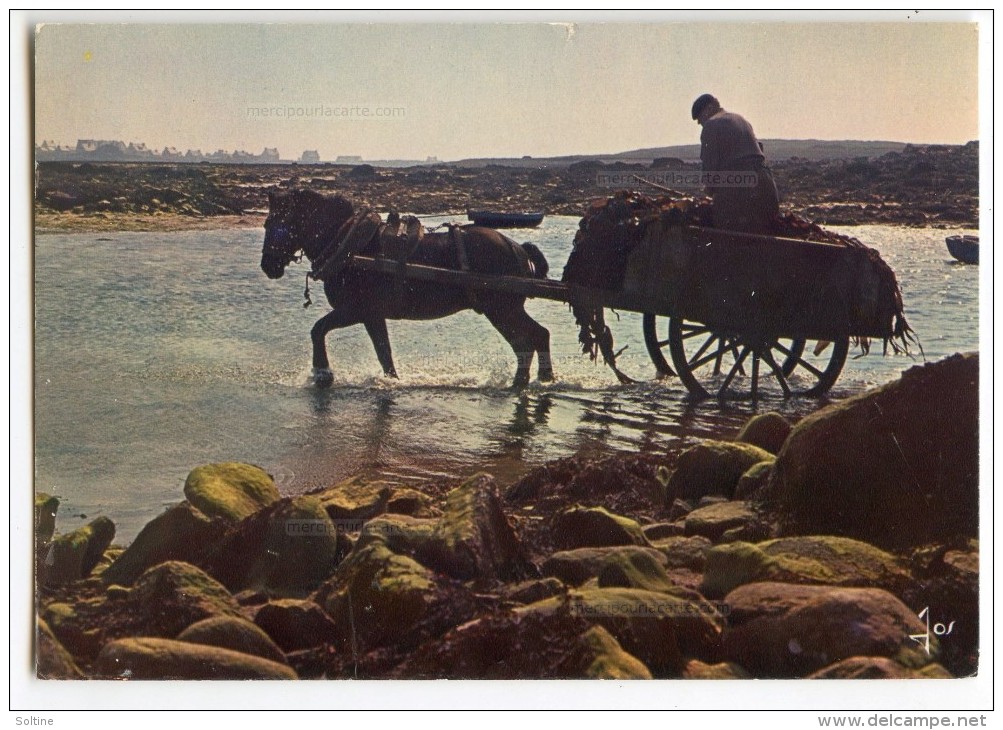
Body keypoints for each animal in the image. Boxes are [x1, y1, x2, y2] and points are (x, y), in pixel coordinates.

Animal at [260, 189, 557, 387]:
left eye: (275, 224)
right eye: (266, 223)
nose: (267, 265)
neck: (349, 245)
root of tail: (516, 247)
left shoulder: (357, 310)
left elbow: (318, 329)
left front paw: (322, 373)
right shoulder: (372, 316)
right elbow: (384, 354)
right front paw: (392, 381)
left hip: (502, 309)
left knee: (533, 338)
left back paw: (536, 381)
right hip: (502, 310)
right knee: (529, 341)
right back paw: (531, 381)